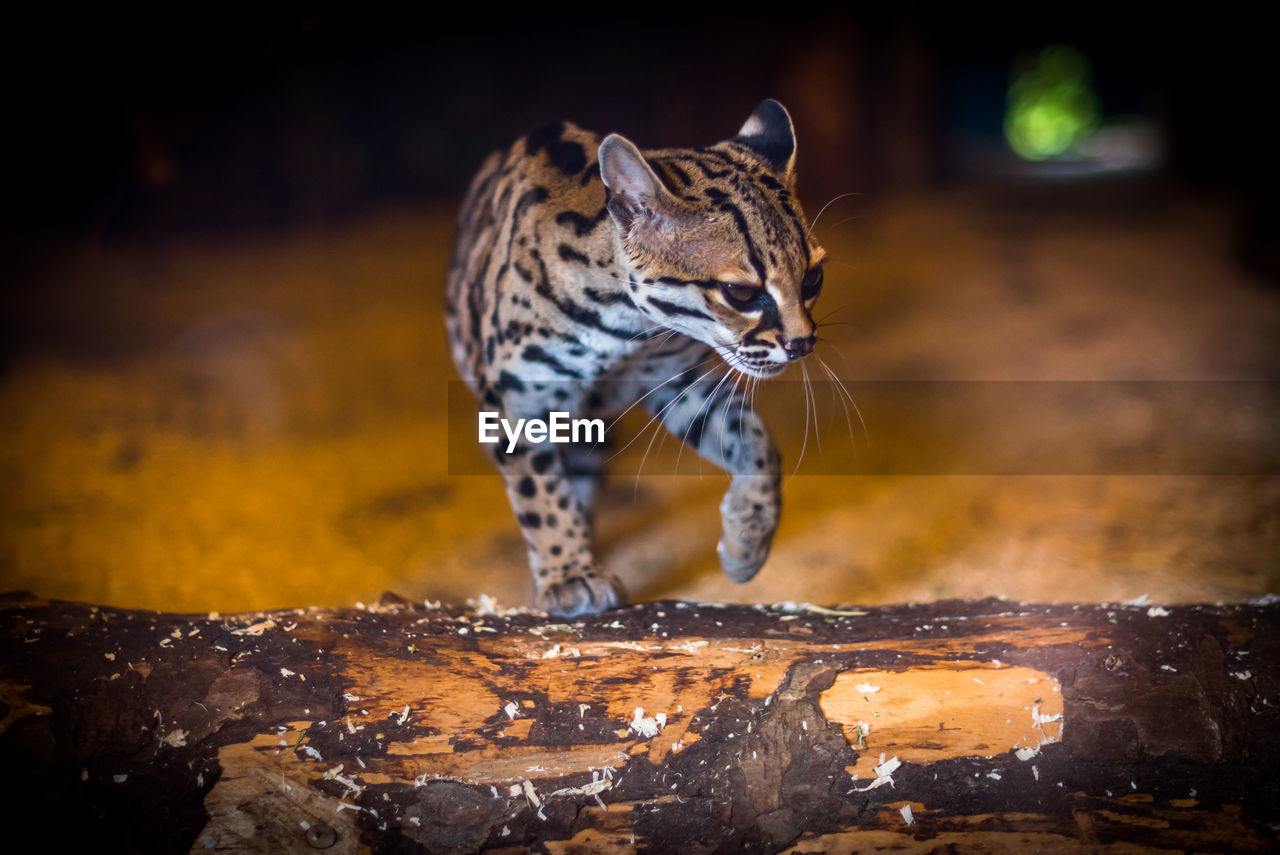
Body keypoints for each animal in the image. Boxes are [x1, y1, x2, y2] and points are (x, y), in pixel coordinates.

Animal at [450, 101, 824, 614]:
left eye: (814, 279)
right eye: (741, 293)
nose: (802, 343)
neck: (625, 329)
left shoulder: (678, 381)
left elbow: (756, 443)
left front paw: (748, 538)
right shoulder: (519, 397)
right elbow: (537, 490)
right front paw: (569, 574)